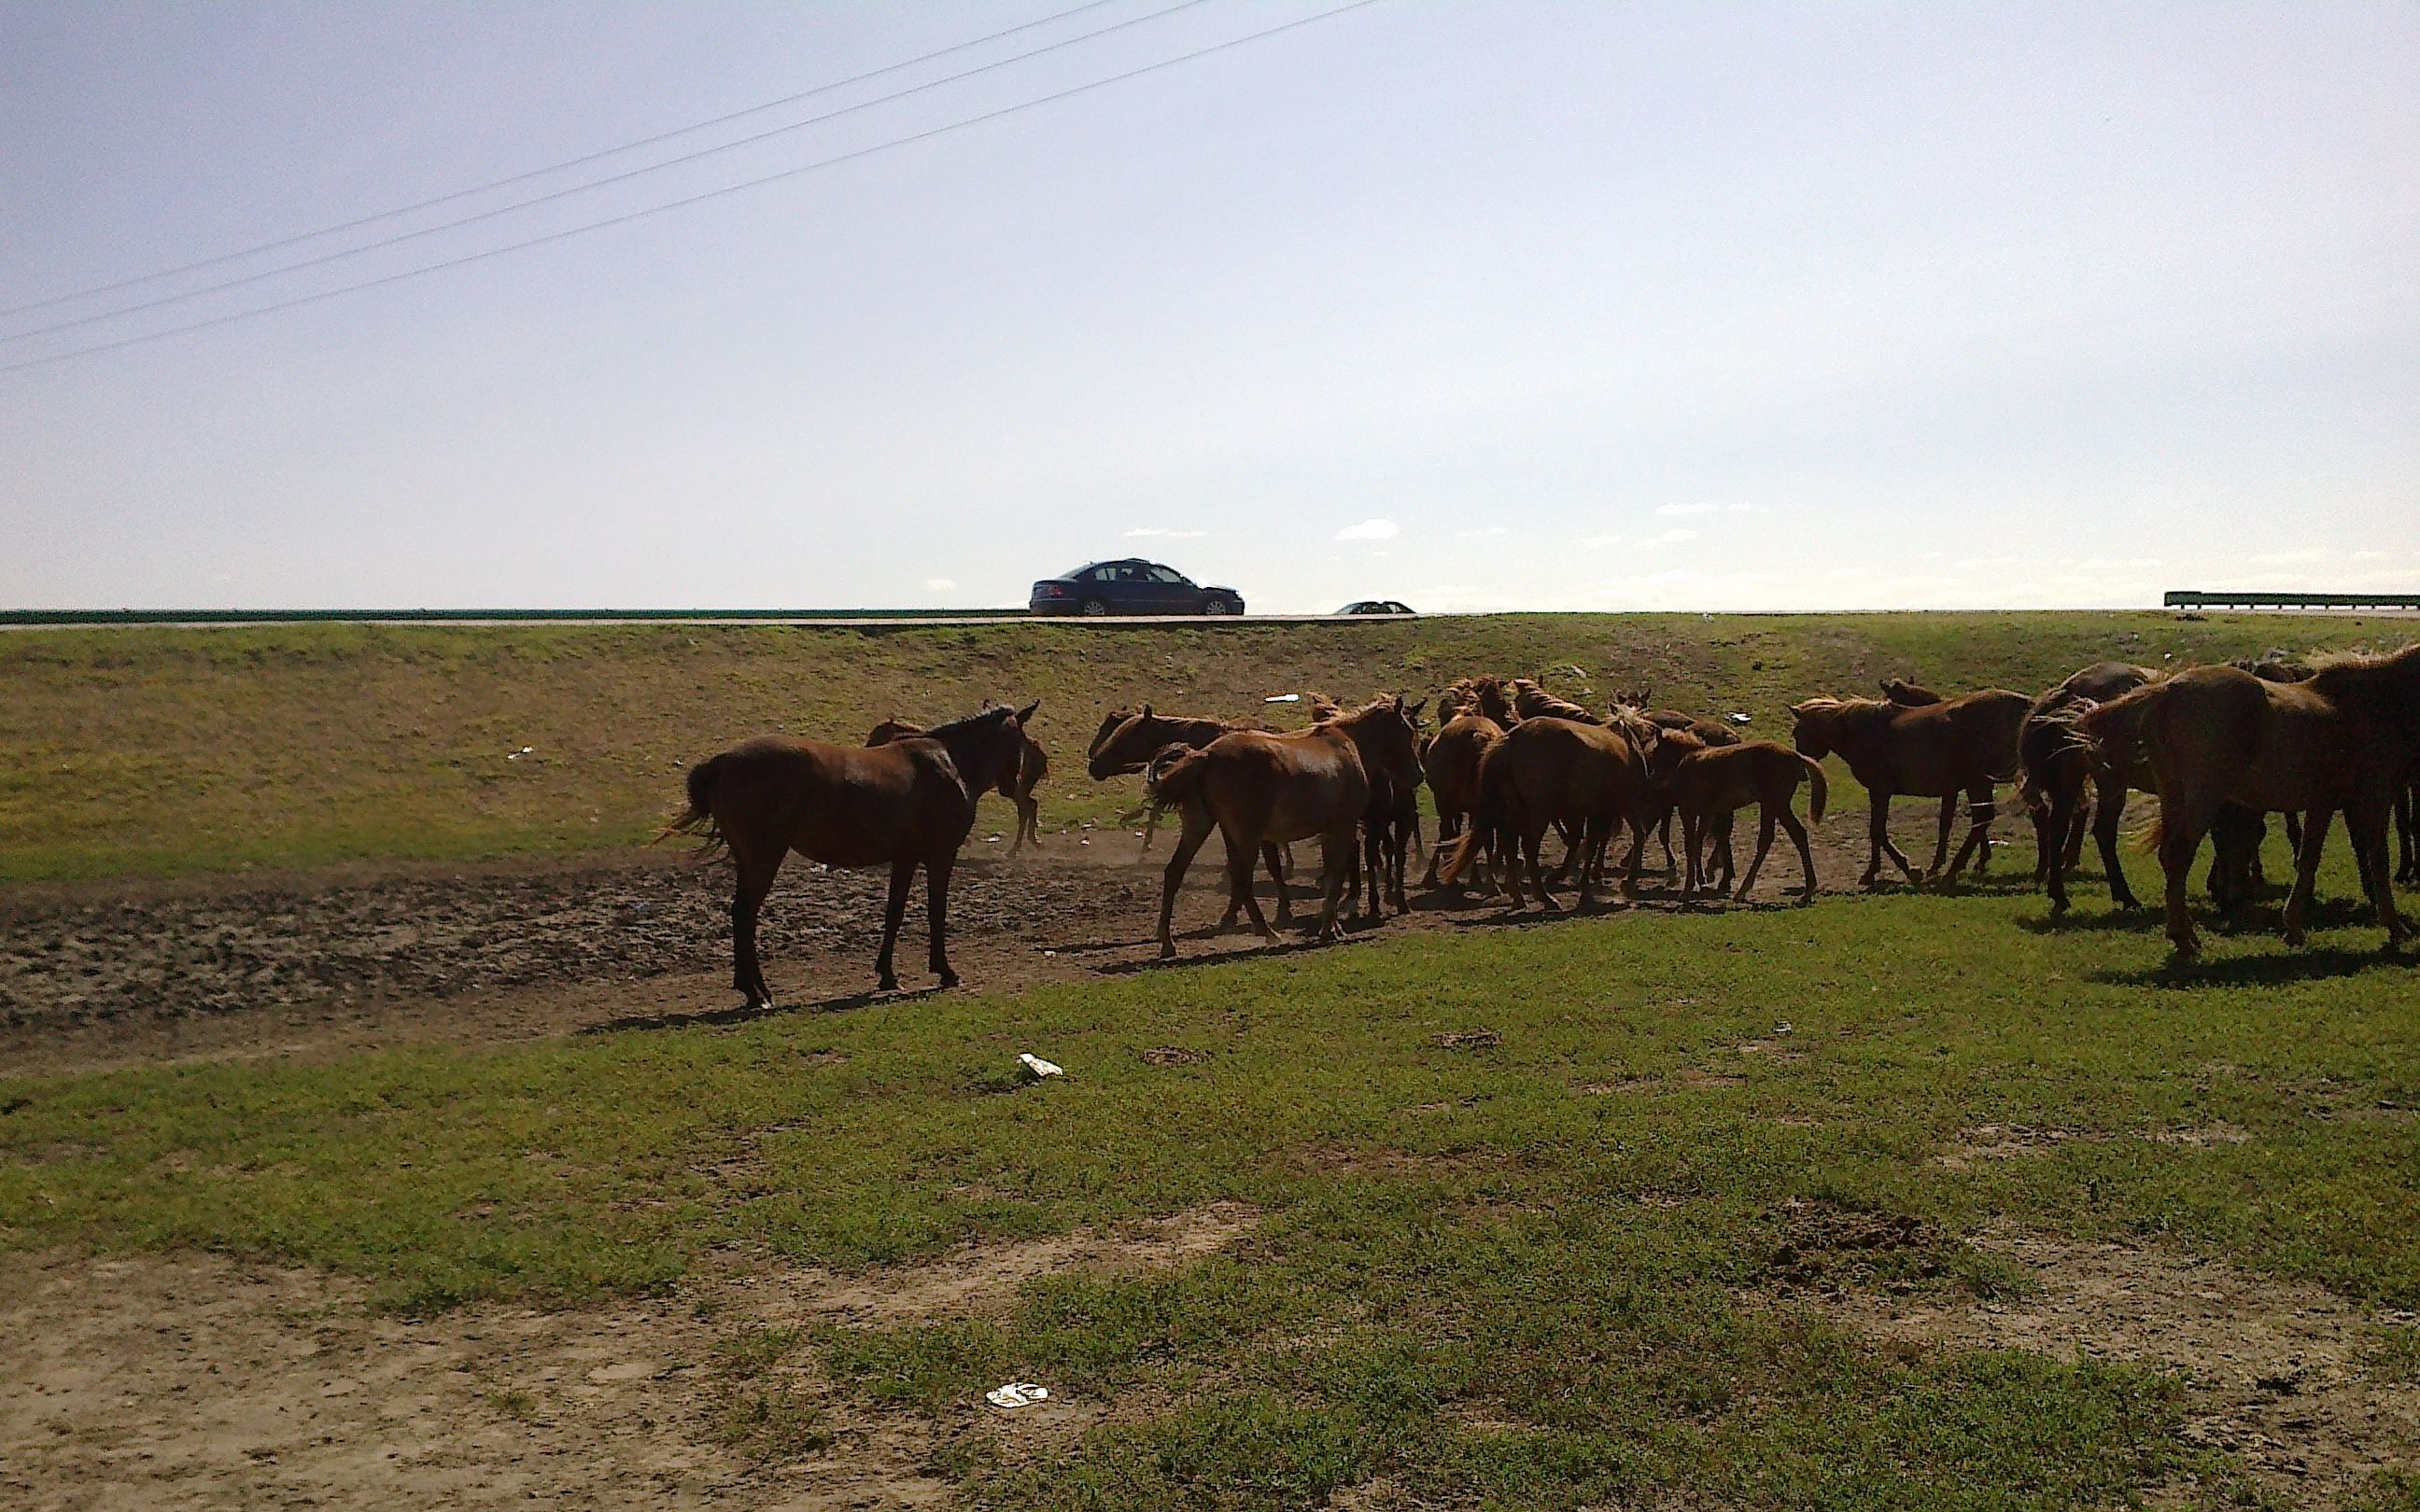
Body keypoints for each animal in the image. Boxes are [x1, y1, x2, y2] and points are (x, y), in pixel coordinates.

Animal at [1674, 740, 1820, 895]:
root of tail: (1796, 756)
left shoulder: (1688, 812)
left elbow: (1690, 846)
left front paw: (1688, 888)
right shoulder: (1707, 813)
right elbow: (1700, 842)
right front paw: (1703, 879)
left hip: (1775, 805)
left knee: (1783, 836)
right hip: (1773, 806)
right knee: (1787, 836)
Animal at [1791, 692, 2033, 889]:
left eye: (1797, 733)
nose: (1801, 770)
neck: (1866, 731)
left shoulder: (1880, 791)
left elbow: (1877, 831)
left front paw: (1895, 871)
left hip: (1979, 783)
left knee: (1983, 819)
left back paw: (1953, 872)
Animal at [2081, 638, 2420, 953]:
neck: (2373, 702)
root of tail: (2167, 690)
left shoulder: (2322, 804)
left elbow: (2308, 859)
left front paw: (2293, 927)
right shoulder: (2374, 799)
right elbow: (2378, 860)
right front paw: (2394, 926)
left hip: (2174, 796)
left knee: (2169, 856)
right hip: (2204, 798)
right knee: (2178, 853)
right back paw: (2184, 939)